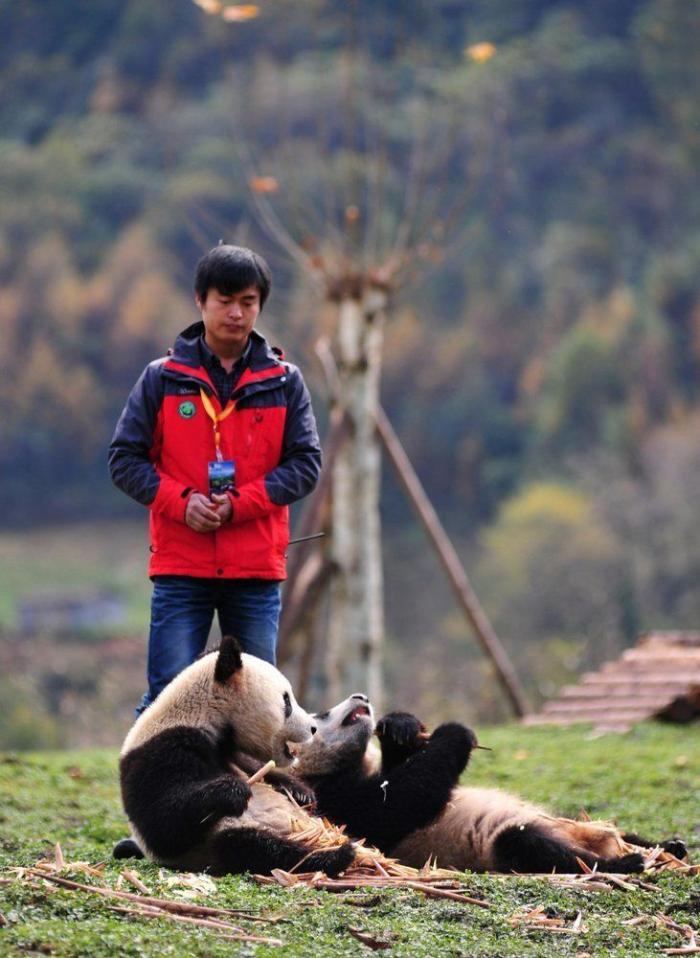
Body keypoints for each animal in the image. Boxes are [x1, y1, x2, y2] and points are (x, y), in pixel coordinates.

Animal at [118, 635, 355, 877]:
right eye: (287, 702)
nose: (313, 728)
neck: (200, 715)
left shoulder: (231, 750)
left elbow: (261, 770)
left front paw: (303, 794)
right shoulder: (162, 752)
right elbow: (163, 825)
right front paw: (234, 791)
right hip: (221, 840)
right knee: (260, 848)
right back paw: (335, 855)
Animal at [293, 698, 687, 874]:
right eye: (319, 715)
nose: (360, 697)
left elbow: (401, 771)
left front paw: (400, 727)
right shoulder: (331, 801)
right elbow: (394, 805)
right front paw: (455, 733)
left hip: (578, 822)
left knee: (615, 832)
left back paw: (669, 847)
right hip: (502, 844)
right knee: (532, 846)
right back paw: (625, 864)